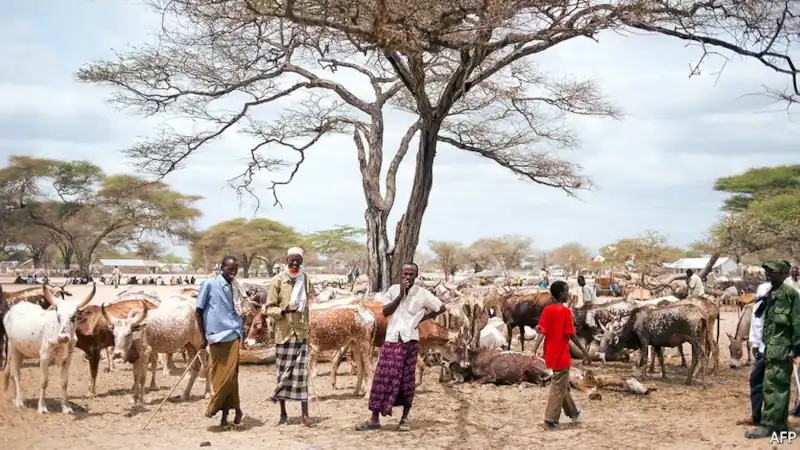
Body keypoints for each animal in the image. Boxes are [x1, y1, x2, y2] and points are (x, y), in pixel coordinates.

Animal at [1, 284, 96, 414]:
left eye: (73, 317)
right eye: (58, 316)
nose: (63, 337)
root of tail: (12, 310)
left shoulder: (67, 360)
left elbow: (64, 383)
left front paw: (66, 407)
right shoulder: (44, 358)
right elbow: (44, 382)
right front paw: (42, 407)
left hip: (22, 351)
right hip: (13, 349)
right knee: (16, 375)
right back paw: (19, 401)